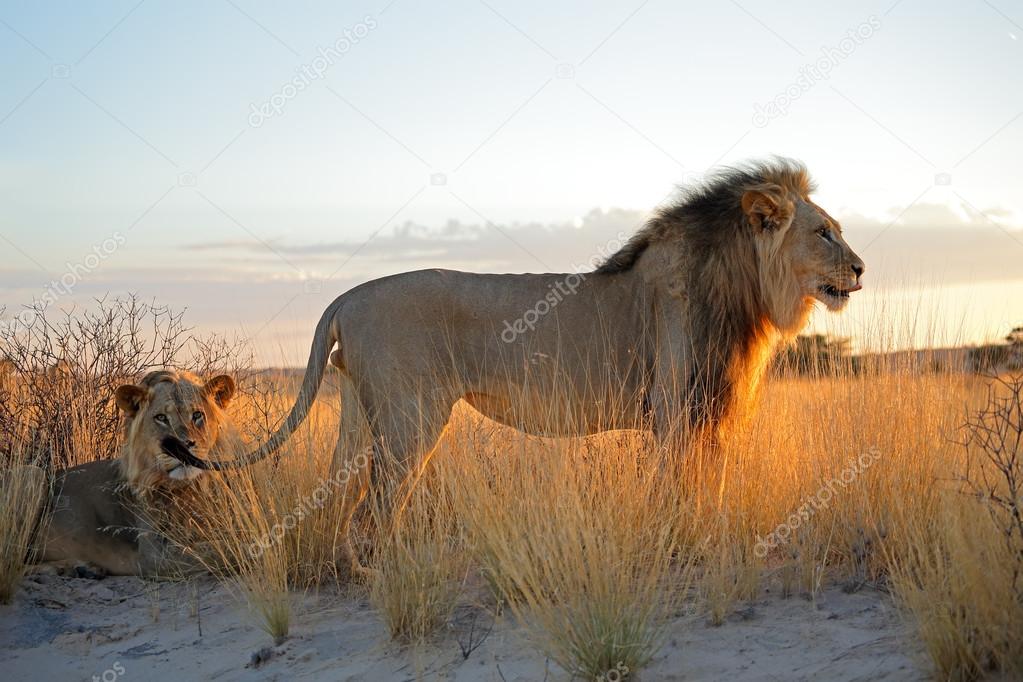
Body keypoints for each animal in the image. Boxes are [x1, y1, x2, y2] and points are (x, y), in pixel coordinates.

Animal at [26, 370, 238, 580]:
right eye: (161, 418)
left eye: (197, 415)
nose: (182, 446)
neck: (186, 488)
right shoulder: (154, 555)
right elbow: (219, 551)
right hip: (35, 474)